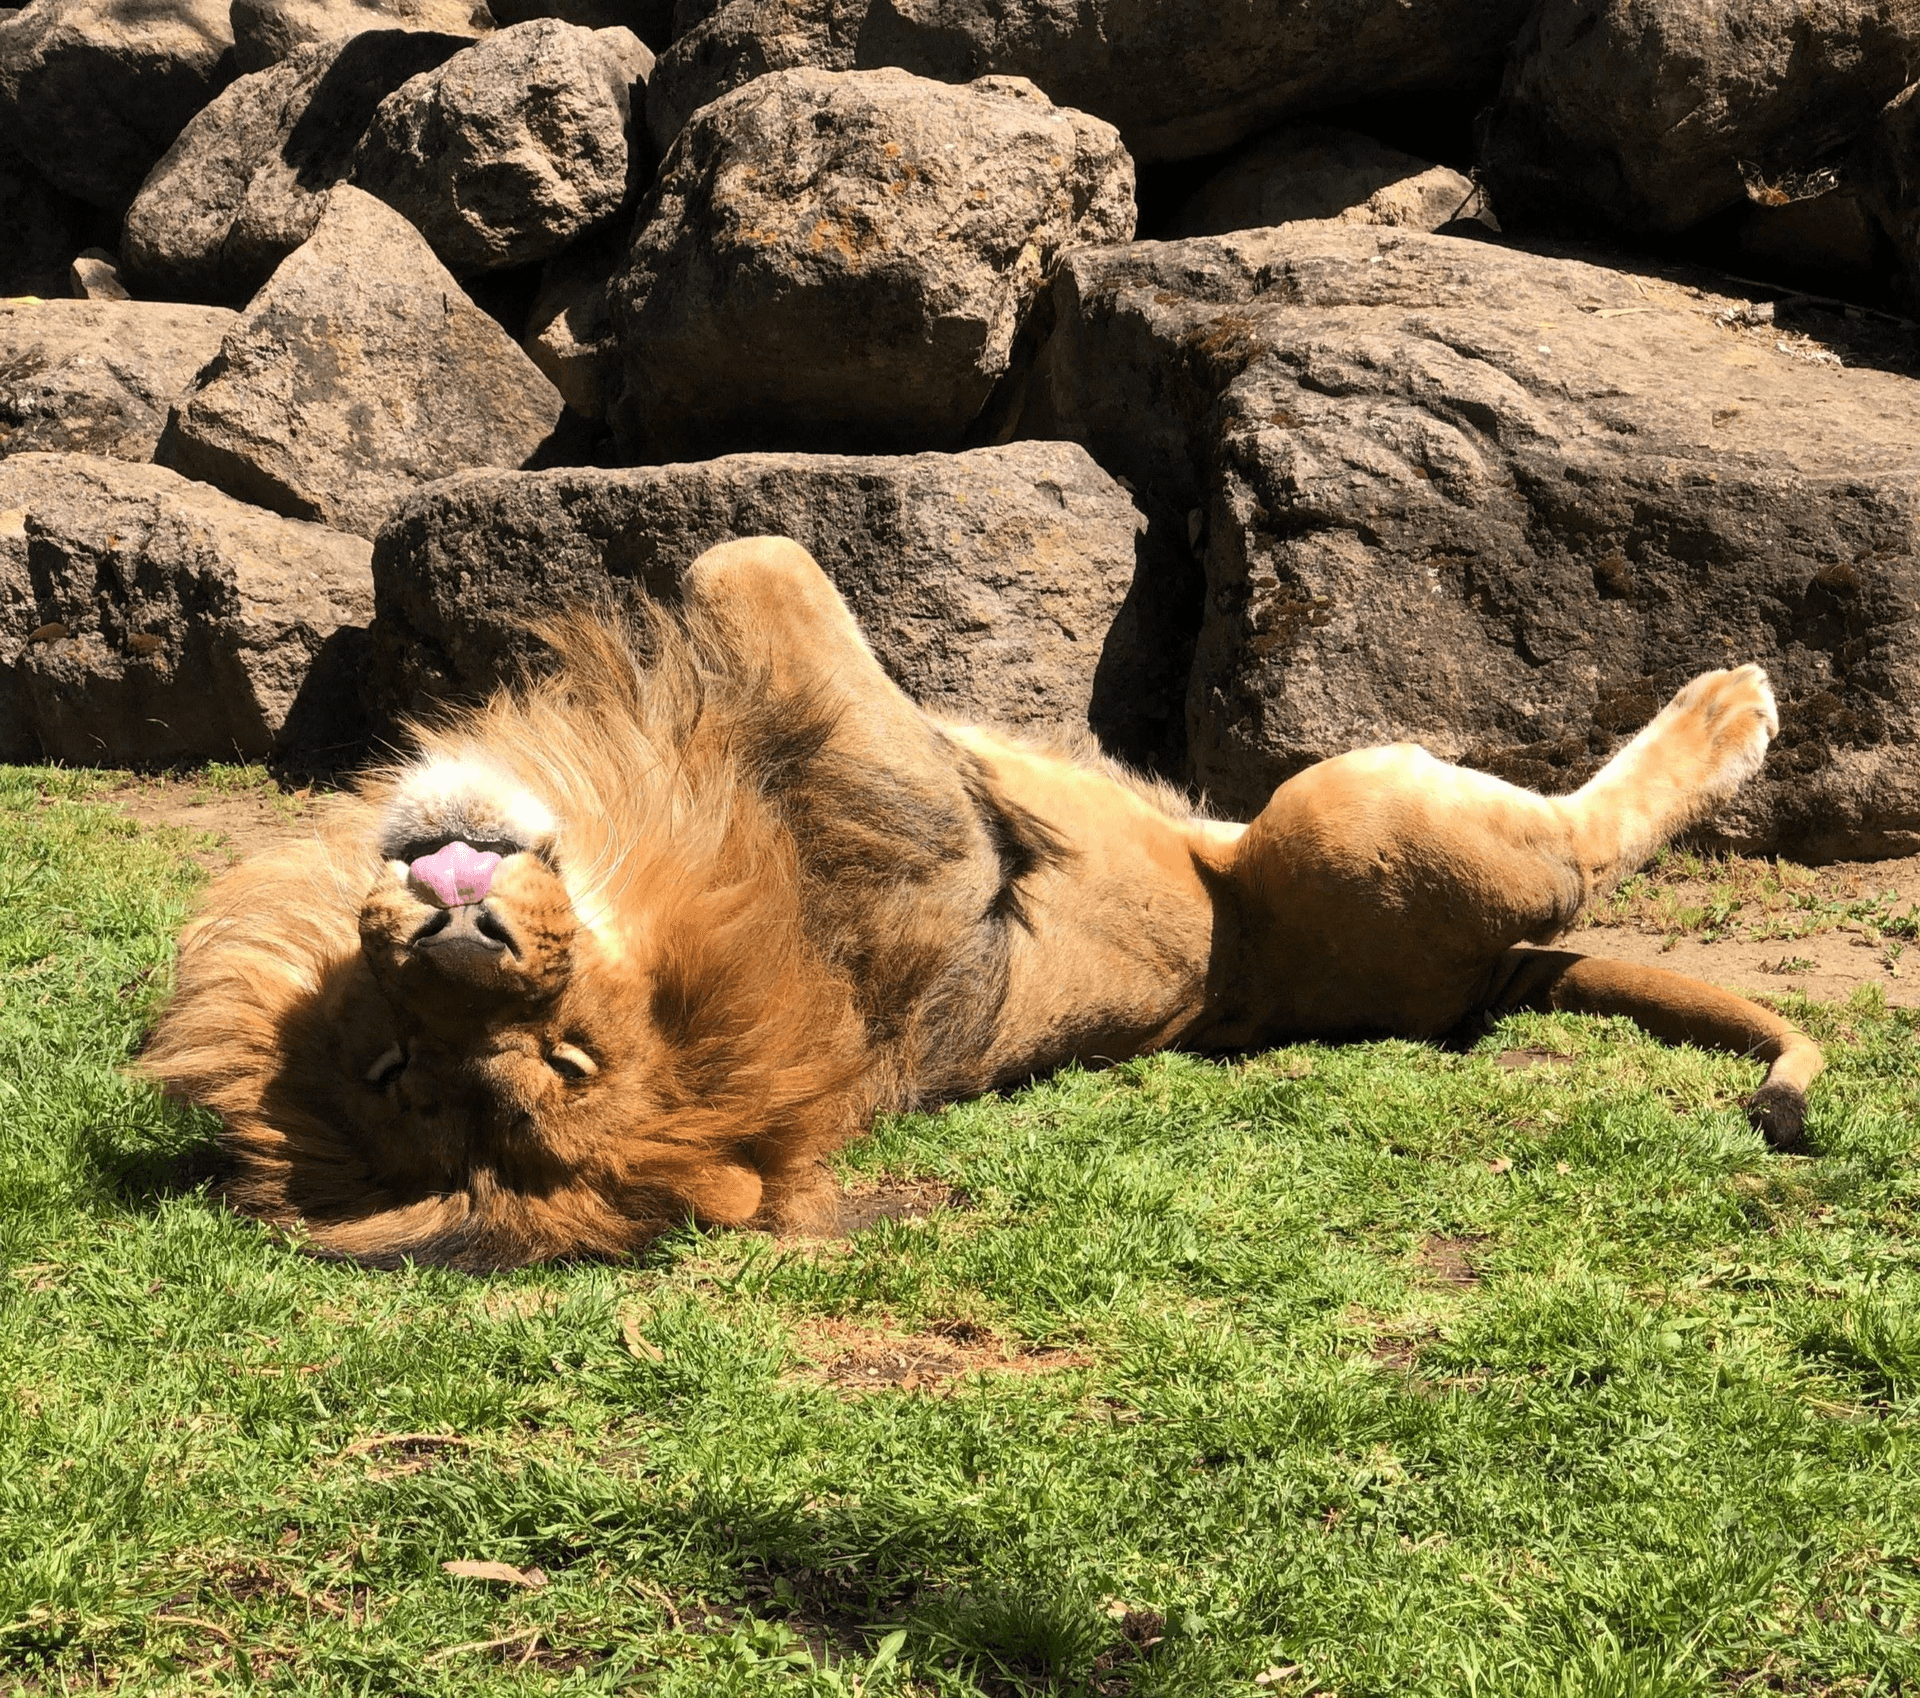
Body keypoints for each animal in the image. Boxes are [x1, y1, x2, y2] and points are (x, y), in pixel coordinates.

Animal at [141, 536, 1825, 1270]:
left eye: (559, 1057)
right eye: (410, 1068)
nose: (462, 933)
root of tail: (1478, 985)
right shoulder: (916, 816)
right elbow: (754, 555)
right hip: (1353, 814)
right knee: (1572, 838)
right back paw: (1732, 702)